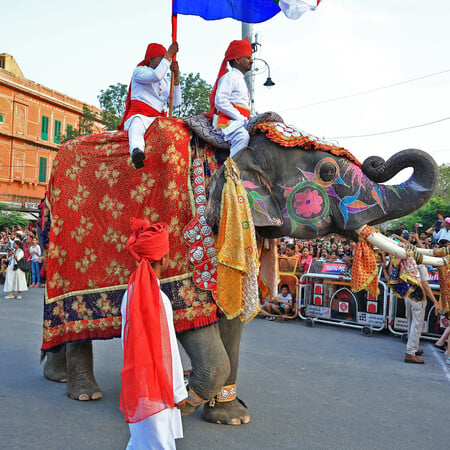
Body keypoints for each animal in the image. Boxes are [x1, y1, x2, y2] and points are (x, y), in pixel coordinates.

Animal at [41, 114, 436, 424]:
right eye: (327, 171)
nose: (375, 159)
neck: (227, 152)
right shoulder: (179, 228)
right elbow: (190, 314)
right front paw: (177, 404)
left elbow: (230, 321)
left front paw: (231, 418)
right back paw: (85, 393)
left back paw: (56, 376)